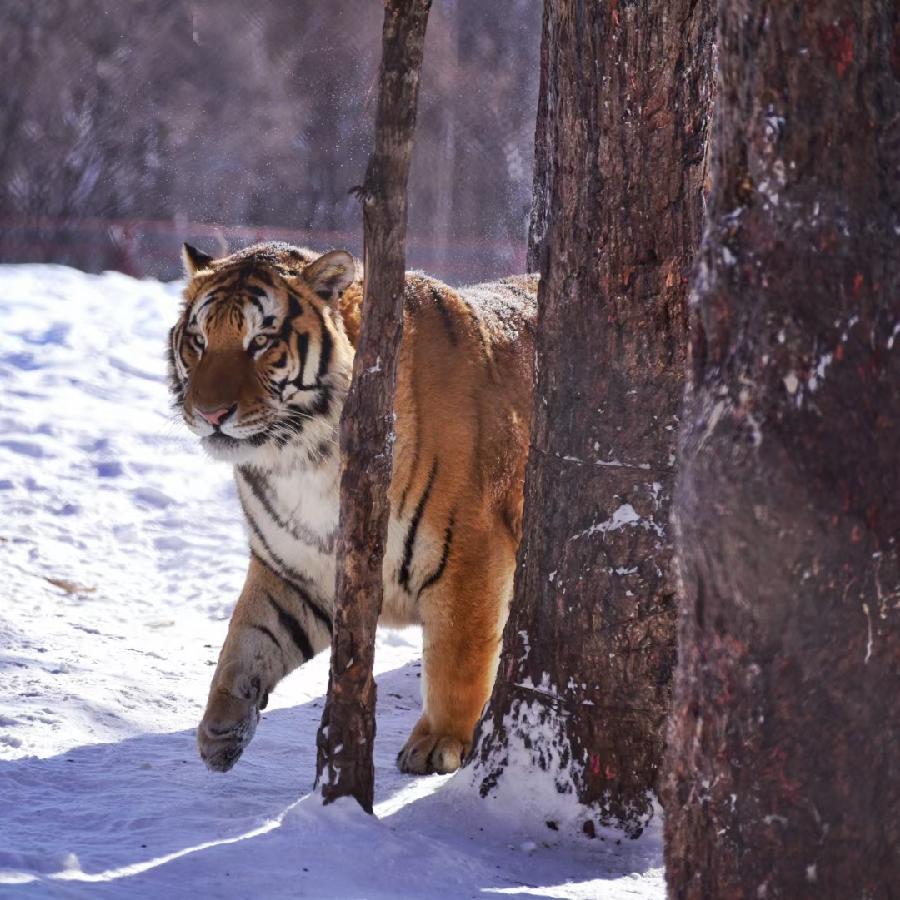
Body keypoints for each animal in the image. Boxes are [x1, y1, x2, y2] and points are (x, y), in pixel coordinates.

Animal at [168, 240, 537, 776]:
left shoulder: (470, 556)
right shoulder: (298, 571)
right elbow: (246, 642)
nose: (210, 413)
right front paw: (220, 730)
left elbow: (457, 659)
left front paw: (437, 742)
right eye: (198, 340)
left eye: (261, 341)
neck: (302, 458)